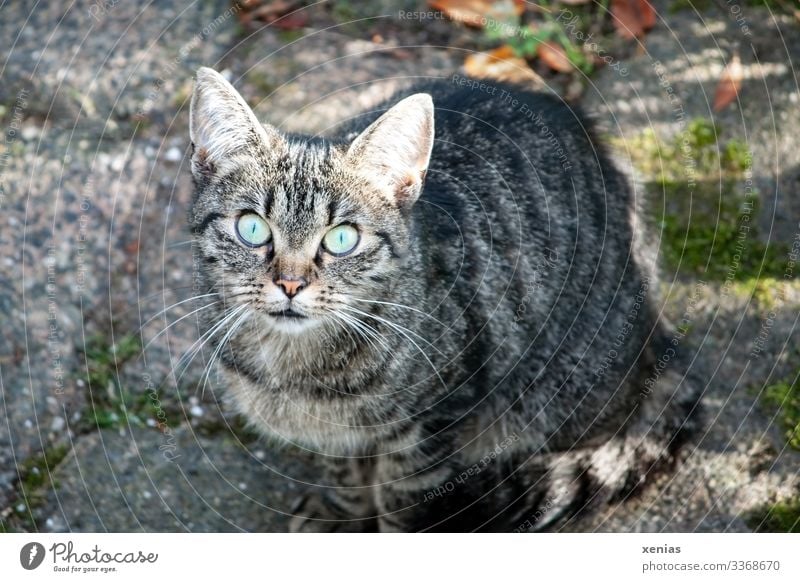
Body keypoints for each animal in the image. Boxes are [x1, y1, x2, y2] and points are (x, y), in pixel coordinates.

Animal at [188, 67, 700, 532]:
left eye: (342, 238)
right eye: (252, 228)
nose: (291, 284)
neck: (295, 368)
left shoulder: (431, 425)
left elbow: (400, 503)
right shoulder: (335, 438)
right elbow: (344, 475)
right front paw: (339, 516)